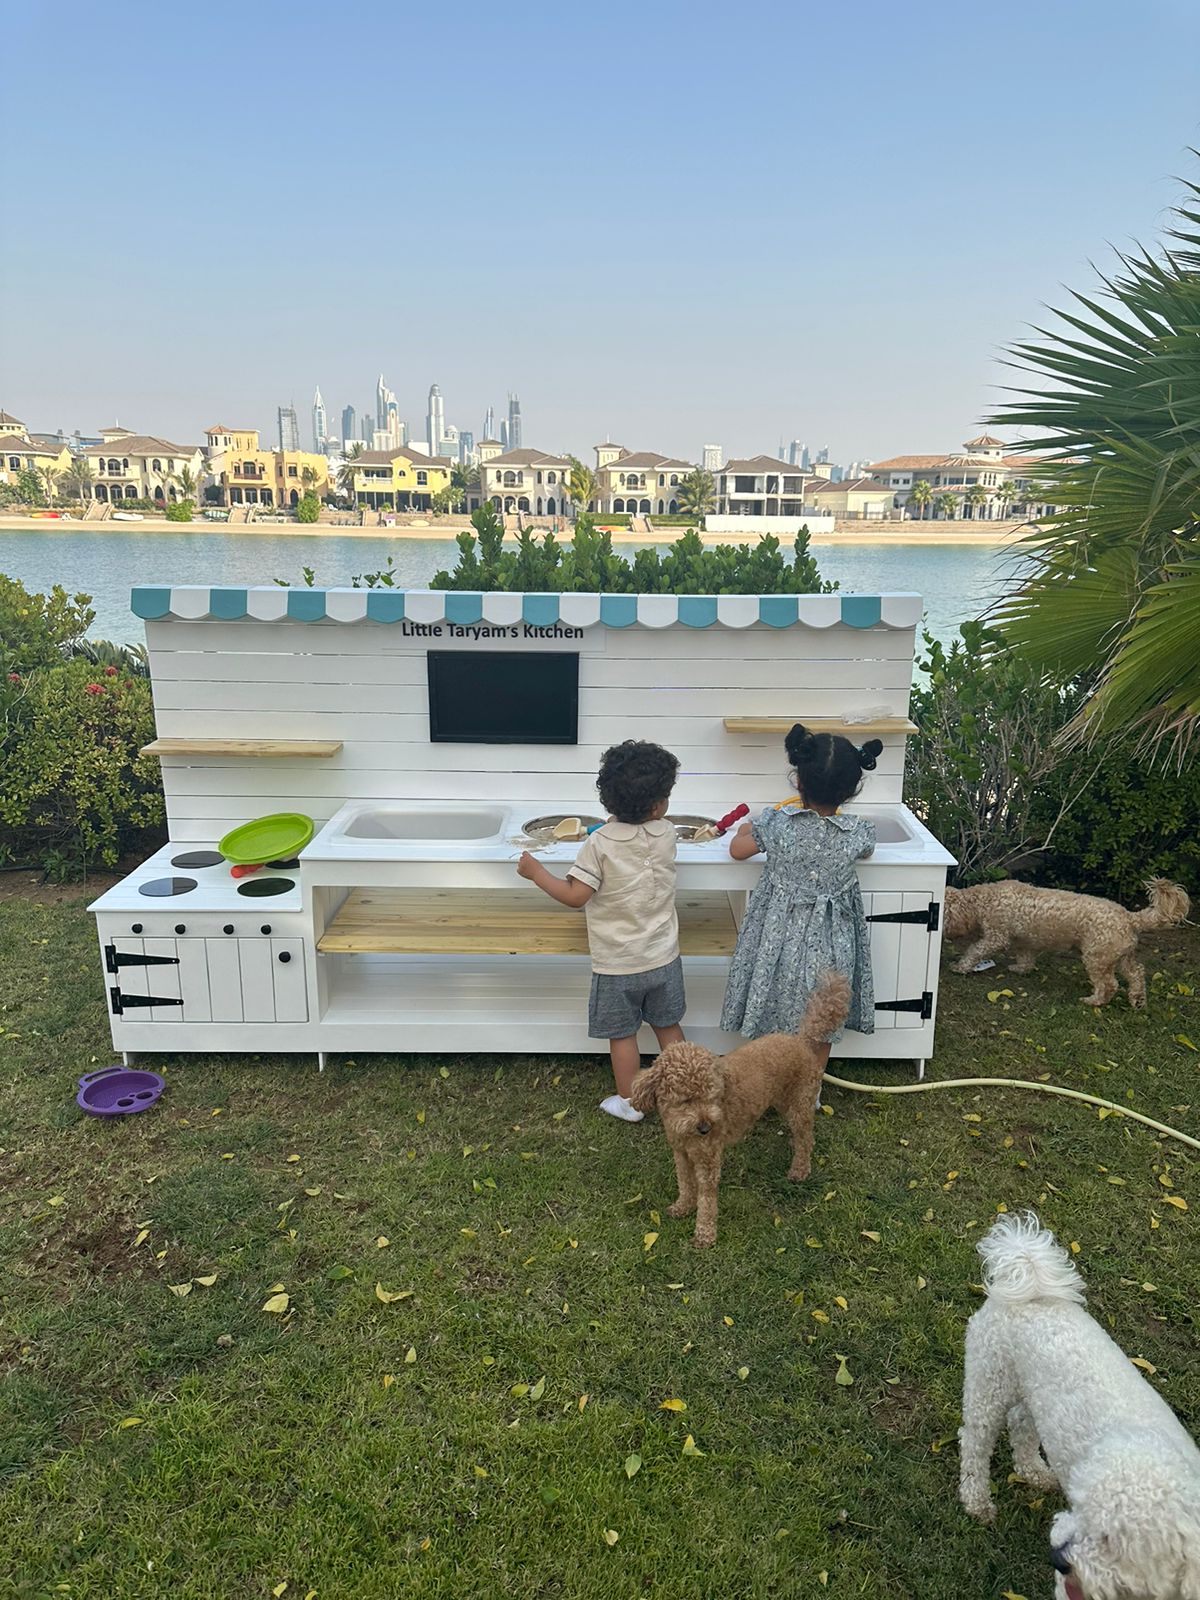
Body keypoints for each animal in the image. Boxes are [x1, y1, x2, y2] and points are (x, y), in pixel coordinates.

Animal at [624, 966, 851, 1241]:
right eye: (686, 1099)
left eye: (711, 1096)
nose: (705, 1128)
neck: (685, 1131)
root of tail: (801, 1039)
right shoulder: (682, 1154)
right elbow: (685, 1184)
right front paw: (682, 1207)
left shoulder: (708, 1158)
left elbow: (707, 1197)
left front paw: (704, 1233)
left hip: (800, 1102)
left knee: (806, 1140)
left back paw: (799, 1170)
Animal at [947, 883, 1196, 1004]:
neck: (982, 899)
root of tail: (1129, 917)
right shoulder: (1026, 941)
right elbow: (1026, 957)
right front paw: (1021, 969)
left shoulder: (996, 937)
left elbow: (975, 950)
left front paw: (961, 966)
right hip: (1122, 956)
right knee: (1136, 974)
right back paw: (1137, 1000)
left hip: (1096, 958)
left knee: (1109, 985)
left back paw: (1094, 1001)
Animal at [966, 1209, 1200, 1600]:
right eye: (1084, 1511)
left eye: (1112, 1541)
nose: (1057, 1556)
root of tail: (1030, 1286)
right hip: (988, 1381)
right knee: (974, 1443)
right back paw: (976, 1500)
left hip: (1032, 1391)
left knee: (1022, 1425)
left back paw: (1033, 1471)